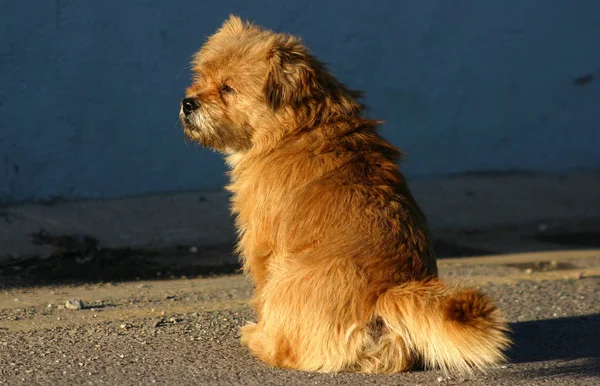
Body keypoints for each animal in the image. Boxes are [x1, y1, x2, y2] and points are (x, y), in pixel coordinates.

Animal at [179, 16, 510, 376]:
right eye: (199, 79)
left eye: (228, 88)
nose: (188, 102)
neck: (296, 126)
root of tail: (384, 296)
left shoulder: (262, 246)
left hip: (286, 277)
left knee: (286, 347)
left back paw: (259, 339)